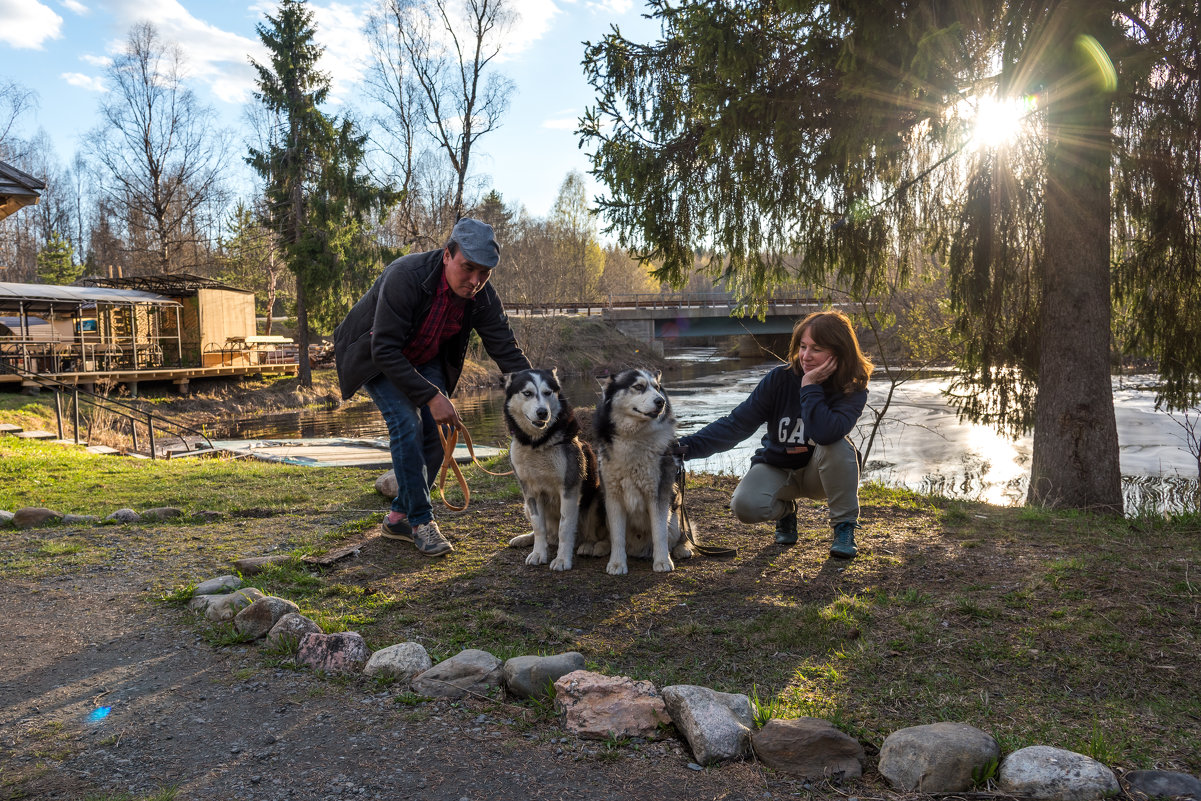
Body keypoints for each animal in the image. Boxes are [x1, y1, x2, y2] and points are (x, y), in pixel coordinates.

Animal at [502, 369, 610, 569]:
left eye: (547, 392)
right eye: (527, 393)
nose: (542, 412)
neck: (537, 444)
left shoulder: (568, 489)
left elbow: (565, 528)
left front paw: (562, 559)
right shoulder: (530, 492)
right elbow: (538, 527)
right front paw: (538, 553)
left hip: (598, 497)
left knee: (601, 534)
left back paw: (592, 546)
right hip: (525, 505)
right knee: (548, 534)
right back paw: (525, 538)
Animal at [593, 369, 696, 576]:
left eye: (656, 387)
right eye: (638, 386)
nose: (660, 402)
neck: (633, 439)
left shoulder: (658, 493)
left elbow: (659, 533)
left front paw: (662, 561)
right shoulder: (612, 496)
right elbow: (617, 536)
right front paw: (617, 563)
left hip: (676, 513)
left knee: (683, 531)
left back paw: (682, 548)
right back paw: (599, 546)